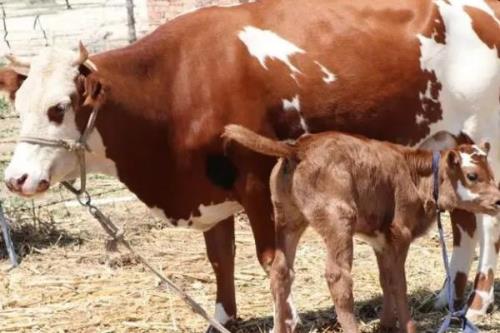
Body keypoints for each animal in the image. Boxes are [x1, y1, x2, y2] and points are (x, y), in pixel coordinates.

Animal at [225, 124, 500, 332]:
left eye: (492, 172)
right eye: (472, 176)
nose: (498, 200)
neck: (415, 174)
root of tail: (298, 148)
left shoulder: (381, 238)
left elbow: (385, 278)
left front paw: (386, 324)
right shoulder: (400, 232)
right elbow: (399, 282)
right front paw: (408, 326)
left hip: (286, 218)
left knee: (281, 271)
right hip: (338, 218)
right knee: (338, 277)